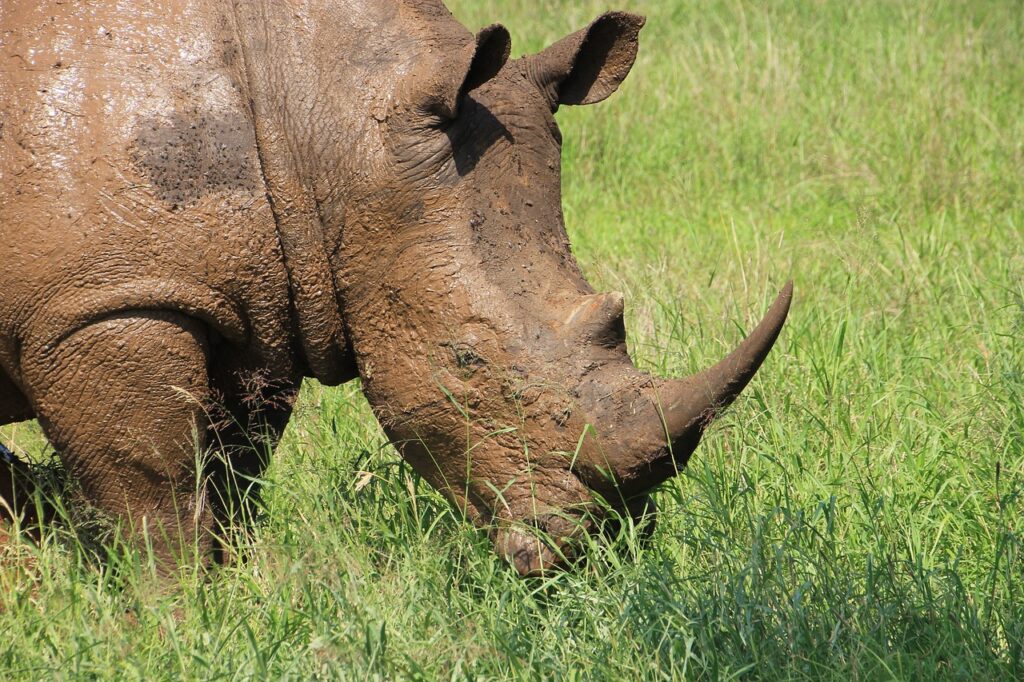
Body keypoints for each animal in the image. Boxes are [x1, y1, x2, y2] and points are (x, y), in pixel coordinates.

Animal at [0, 0, 790, 573]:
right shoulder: (100, 303)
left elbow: (234, 475)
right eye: (466, 362)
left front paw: (233, 592)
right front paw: (177, 619)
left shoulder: (258, 315)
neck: (323, 119)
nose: (606, 547)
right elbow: (154, 495)